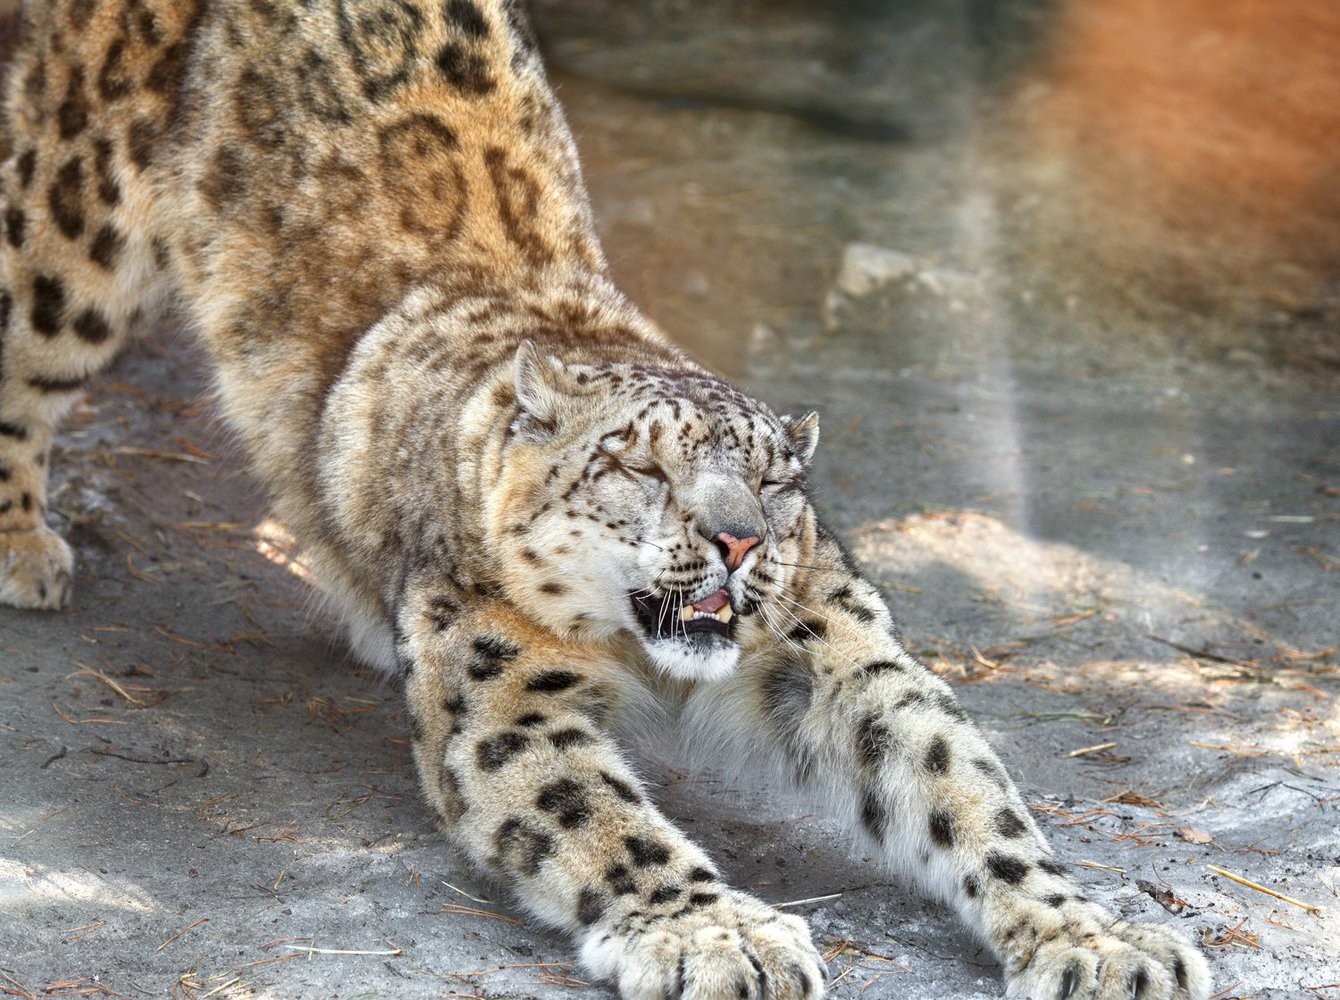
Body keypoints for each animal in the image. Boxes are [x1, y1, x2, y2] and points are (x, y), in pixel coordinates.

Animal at [0, 2, 1212, 998]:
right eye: (641, 466)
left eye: (775, 482)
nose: (734, 540)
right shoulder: (502, 685)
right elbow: (601, 816)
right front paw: (720, 936)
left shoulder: (838, 648)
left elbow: (961, 786)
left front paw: (1096, 937)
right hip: (72, 227)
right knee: (24, 340)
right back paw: (23, 549)